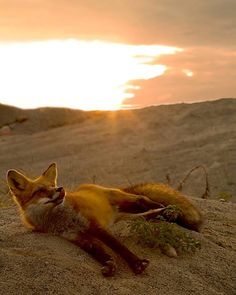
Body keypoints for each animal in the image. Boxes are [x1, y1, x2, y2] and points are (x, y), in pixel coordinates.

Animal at [6, 164, 204, 278]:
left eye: (53, 185)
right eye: (40, 190)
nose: (61, 189)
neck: (61, 219)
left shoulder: (94, 225)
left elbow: (117, 245)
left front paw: (137, 264)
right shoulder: (76, 236)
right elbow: (99, 252)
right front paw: (109, 265)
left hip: (127, 201)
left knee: (146, 200)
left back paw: (170, 211)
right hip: (129, 216)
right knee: (150, 214)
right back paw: (164, 214)